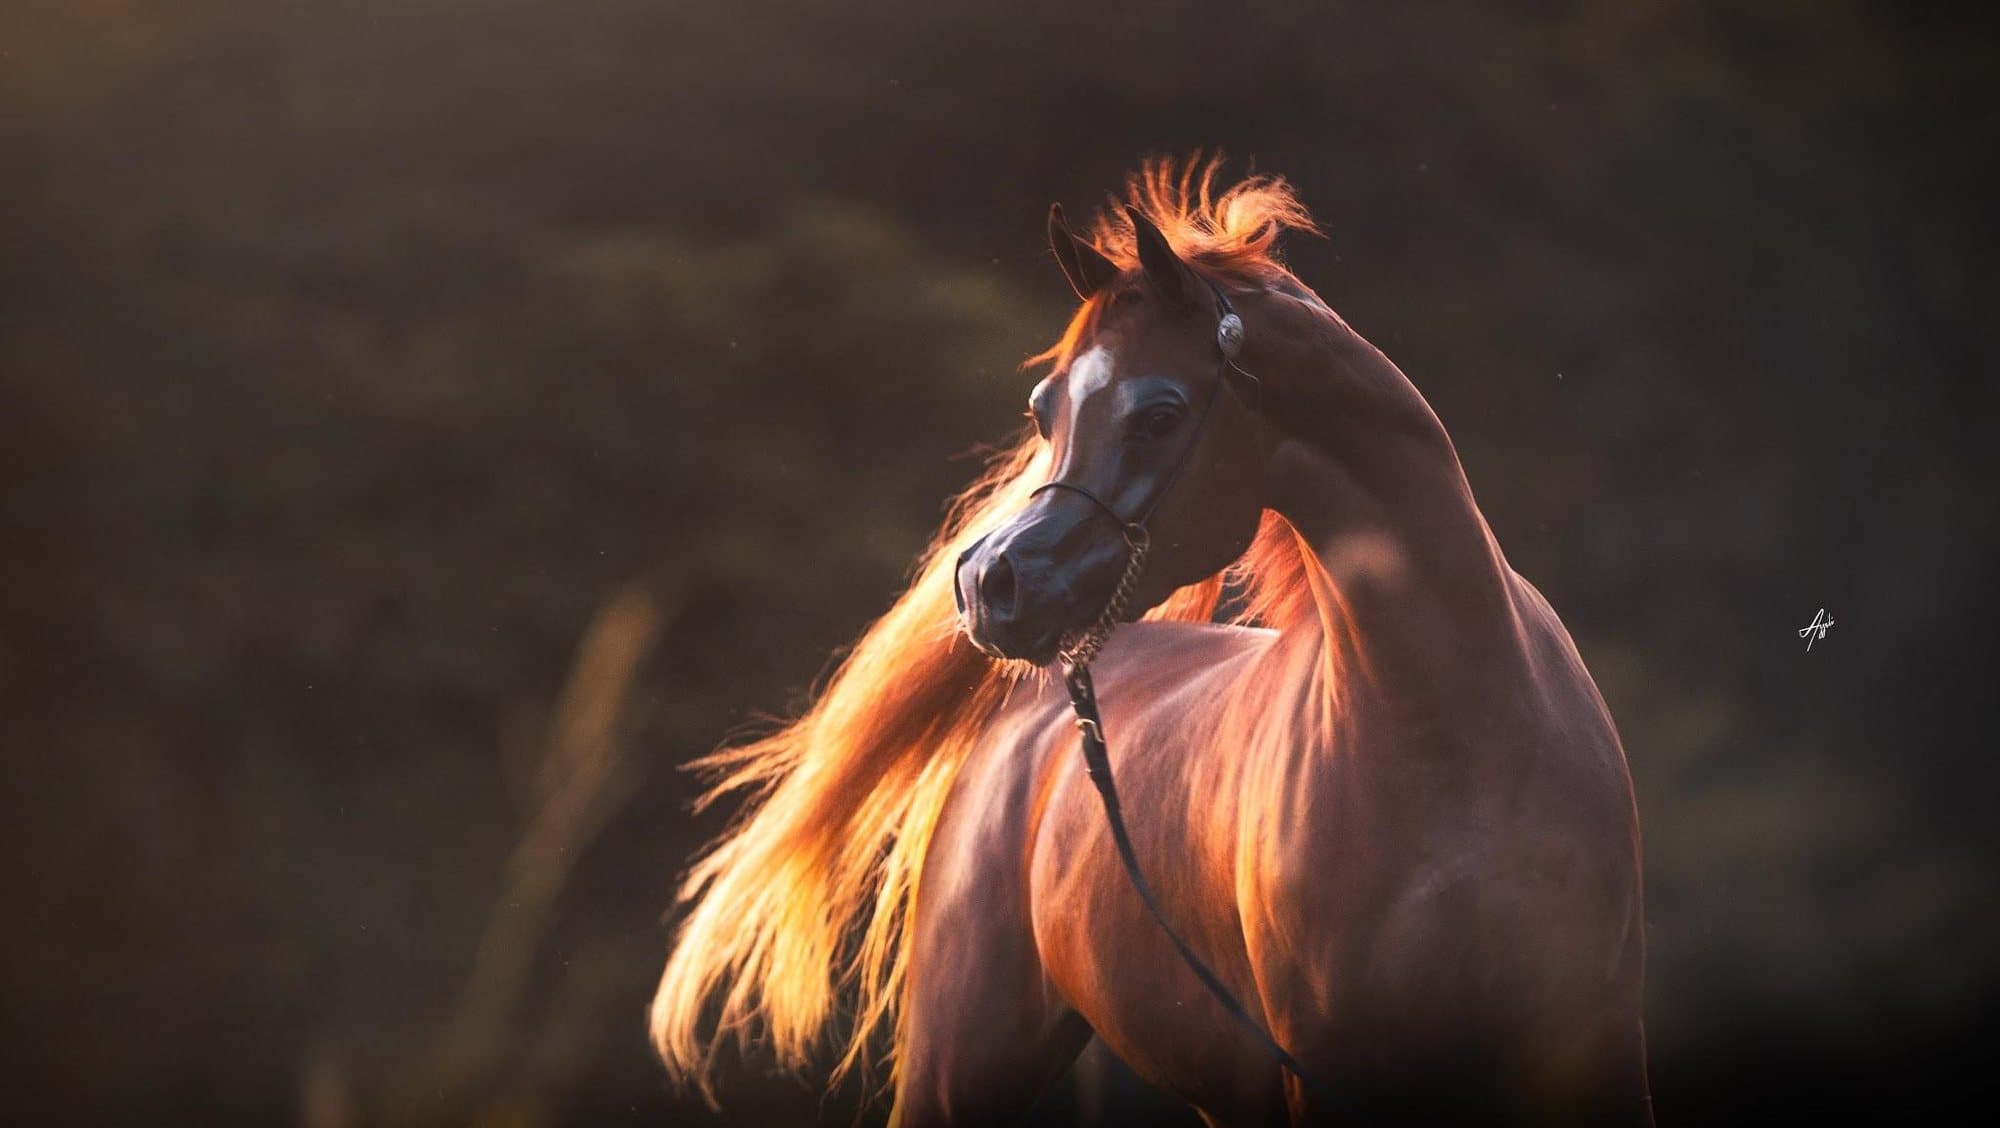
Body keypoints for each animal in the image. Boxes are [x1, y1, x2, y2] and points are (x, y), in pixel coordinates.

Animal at [651, 157, 1653, 1127]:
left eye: (1160, 413)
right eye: (1045, 410)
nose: (989, 583)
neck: (1456, 740)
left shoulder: (1597, 1054)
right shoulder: (1328, 1069)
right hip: (963, 1062)